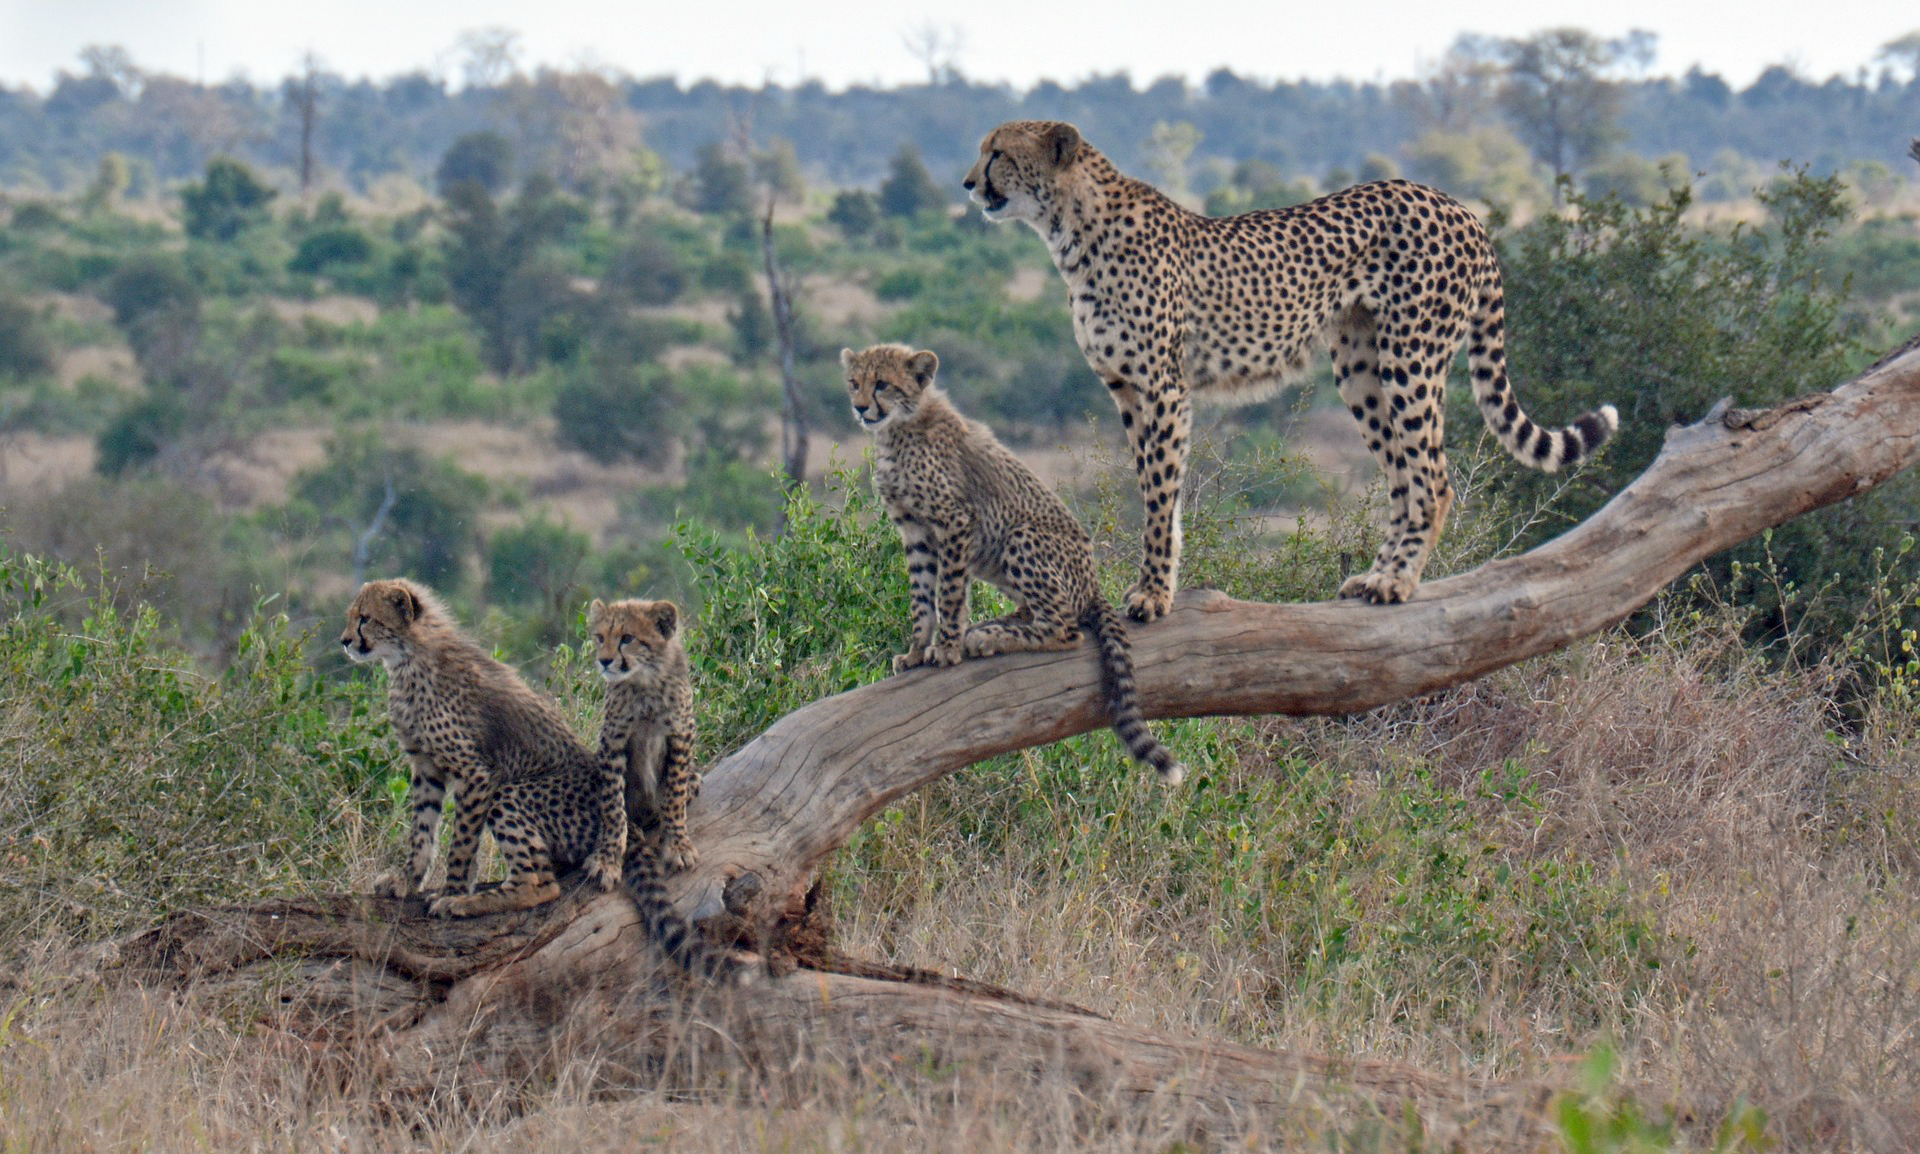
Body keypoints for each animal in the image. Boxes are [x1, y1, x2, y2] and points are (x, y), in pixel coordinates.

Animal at [588, 597, 700, 875]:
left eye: (627, 638)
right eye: (600, 637)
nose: (604, 661)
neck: (645, 680)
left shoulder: (681, 734)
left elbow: (674, 794)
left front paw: (677, 844)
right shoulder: (612, 740)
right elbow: (612, 803)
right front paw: (607, 856)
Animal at [843, 343, 1184, 785]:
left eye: (882, 383)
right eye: (855, 382)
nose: (860, 406)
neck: (900, 427)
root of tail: (1093, 584)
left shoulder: (956, 521)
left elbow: (948, 592)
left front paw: (946, 648)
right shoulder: (915, 531)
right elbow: (922, 598)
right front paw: (917, 650)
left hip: (1020, 537)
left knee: (1064, 628)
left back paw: (990, 638)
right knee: (1038, 612)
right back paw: (992, 626)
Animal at [963, 119, 1618, 614]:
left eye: (998, 152)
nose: (968, 184)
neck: (1071, 227)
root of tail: (1458, 205)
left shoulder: (1163, 389)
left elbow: (1158, 496)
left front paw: (1153, 596)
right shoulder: (1127, 391)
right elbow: (1156, 490)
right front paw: (1157, 583)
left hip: (1411, 359)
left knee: (1433, 479)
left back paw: (1398, 582)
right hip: (1361, 369)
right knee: (1403, 480)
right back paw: (1374, 577)